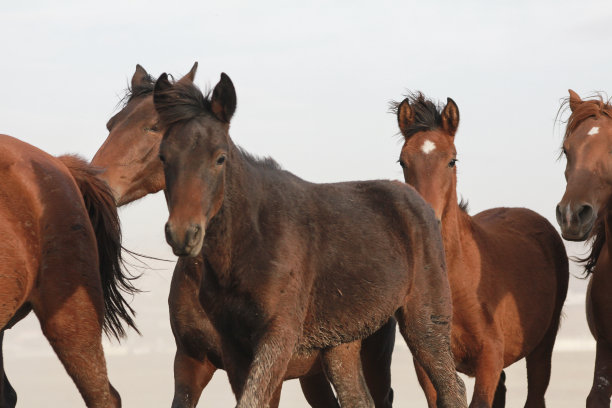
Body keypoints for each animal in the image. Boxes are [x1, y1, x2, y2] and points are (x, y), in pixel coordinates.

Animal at [153, 71, 468, 406]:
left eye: (220, 158)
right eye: (163, 156)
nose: (183, 233)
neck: (252, 237)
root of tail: (420, 204)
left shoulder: (278, 335)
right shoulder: (231, 346)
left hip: (425, 321)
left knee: (451, 388)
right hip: (341, 341)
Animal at [394, 93, 568, 408]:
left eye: (451, 160)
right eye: (403, 161)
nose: (427, 221)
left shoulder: (490, 356)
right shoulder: (426, 363)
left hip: (542, 344)